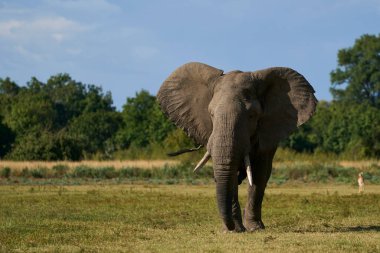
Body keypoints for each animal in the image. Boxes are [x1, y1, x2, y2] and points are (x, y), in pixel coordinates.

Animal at [156, 62, 316, 232]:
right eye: (211, 114)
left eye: (252, 116)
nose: (230, 226)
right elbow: (228, 174)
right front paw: (234, 230)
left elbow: (259, 173)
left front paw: (254, 228)